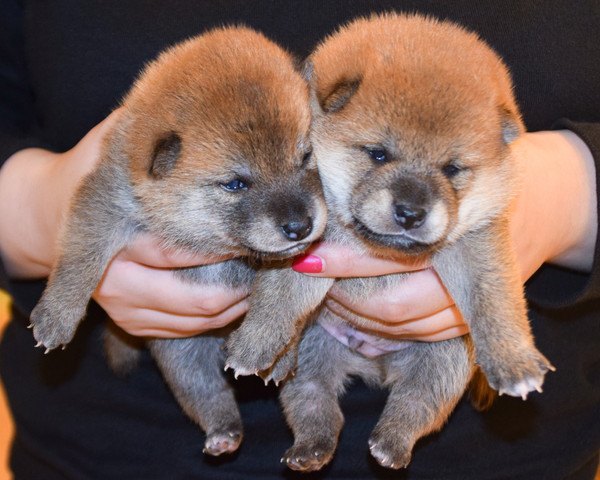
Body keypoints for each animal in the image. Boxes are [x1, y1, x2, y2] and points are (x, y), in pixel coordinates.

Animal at [29, 26, 326, 458]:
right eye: (235, 183)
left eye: (305, 158)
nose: (300, 226)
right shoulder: (105, 200)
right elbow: (80, 257)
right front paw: (56, 315)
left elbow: (283, 296)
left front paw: (263, 347)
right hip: (180, 351)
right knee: (204, 392)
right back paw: (222, 432)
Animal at [227, 13, 556, 470]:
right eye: (379, 153)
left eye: (452, 168)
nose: (410, 213)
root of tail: (374, 364)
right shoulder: (308, 249)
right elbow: (281, 295)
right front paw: (254, 347)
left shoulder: (478, 245)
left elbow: (494, 300)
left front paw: (514, 362)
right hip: (316, 353)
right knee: (314, 402)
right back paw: (308, 445)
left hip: (445, 359)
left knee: (418, 404)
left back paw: (389, 445)